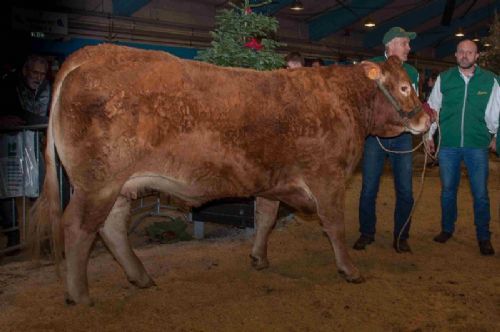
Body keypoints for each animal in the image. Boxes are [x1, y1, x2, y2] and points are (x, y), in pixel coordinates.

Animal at [30, 43, 430, 304]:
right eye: (405, 86)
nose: (428, 118)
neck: (343, 100)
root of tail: (96, 51)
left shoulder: (272, 180)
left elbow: (265, 217)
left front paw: (259, 258)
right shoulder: (328, 177)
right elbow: (334, 225)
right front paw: (350, 270)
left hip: (119, 185)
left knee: (111, 227)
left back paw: (140, 277)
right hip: (97, 182)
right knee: (78, 228)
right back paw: (79, 295)